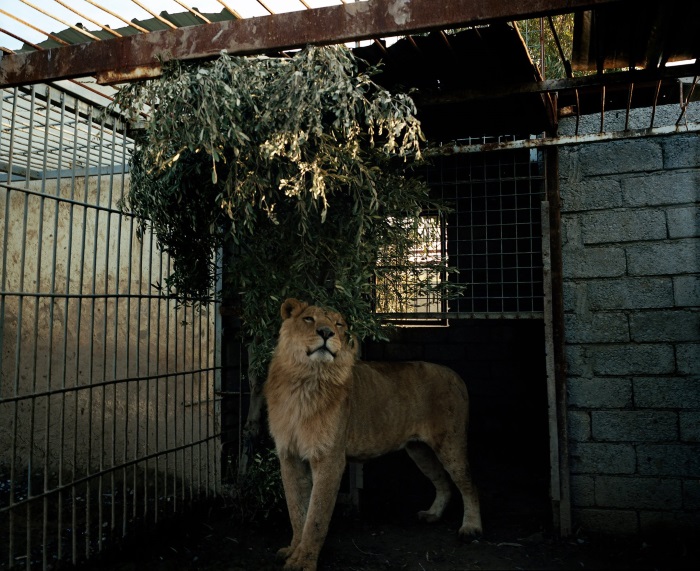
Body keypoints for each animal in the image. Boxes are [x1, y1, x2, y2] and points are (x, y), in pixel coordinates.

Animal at [262, 300, 482, 571]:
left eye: (338, 324)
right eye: (308, 319)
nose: (326, 333)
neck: (305, 380)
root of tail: (455, 374)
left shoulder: (329, 458)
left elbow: (316, 516)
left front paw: (304, 560)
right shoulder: (289, 455)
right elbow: (296, 509)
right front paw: (293, 549)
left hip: (450, 443)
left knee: (468, 484)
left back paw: (471, 528)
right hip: (419, 450)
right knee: (442, 481)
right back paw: (433, 514)